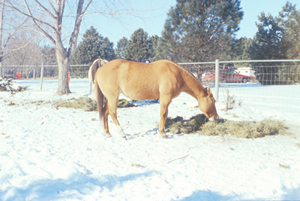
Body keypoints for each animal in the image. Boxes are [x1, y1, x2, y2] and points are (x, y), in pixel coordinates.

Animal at [88, 58, 218, 137]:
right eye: (213, 101)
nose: (216, 117)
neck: (176, 73)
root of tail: (100, 68)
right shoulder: (165, 98)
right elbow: (163, 114)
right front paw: (163, 133)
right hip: (113, 96)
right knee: (112, 112)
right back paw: (122, 133)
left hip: (108, 97)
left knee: (105, 112)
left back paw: (108, 133)